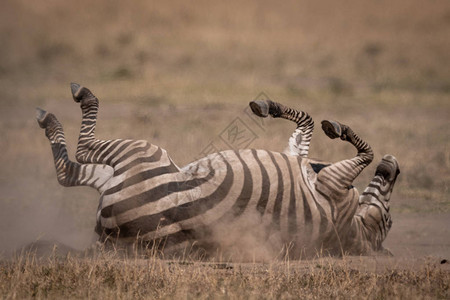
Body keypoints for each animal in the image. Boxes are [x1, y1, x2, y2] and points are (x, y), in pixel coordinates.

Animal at [37, 83, 400, 258]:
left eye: (389, 220)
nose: (393, 165)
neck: (350, 231)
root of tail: (110, 240)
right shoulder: (307, 165)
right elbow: (305, 128)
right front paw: (272, 107)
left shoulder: (332, 183)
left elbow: (364, 152)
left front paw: (338, 129)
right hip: (126, 174)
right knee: (69, 170)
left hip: (143, 155)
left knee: (75, 159)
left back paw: (65, 106)